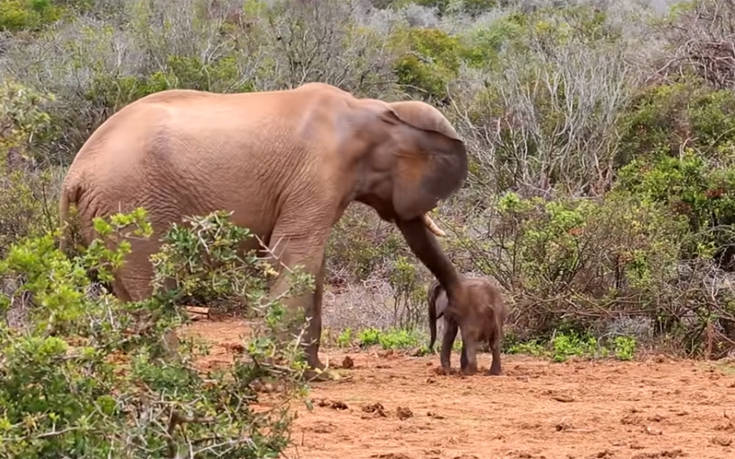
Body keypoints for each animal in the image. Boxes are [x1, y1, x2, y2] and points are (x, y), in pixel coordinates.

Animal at [60, 82, 468, 370]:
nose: (441, 352)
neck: (373, 108)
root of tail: (74, 177)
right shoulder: (318, 173)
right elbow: (295, 255)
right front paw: (276, 371)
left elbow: (312, 266)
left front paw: (313, 372)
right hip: (130, 209)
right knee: (151, 287)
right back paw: (176, 371)